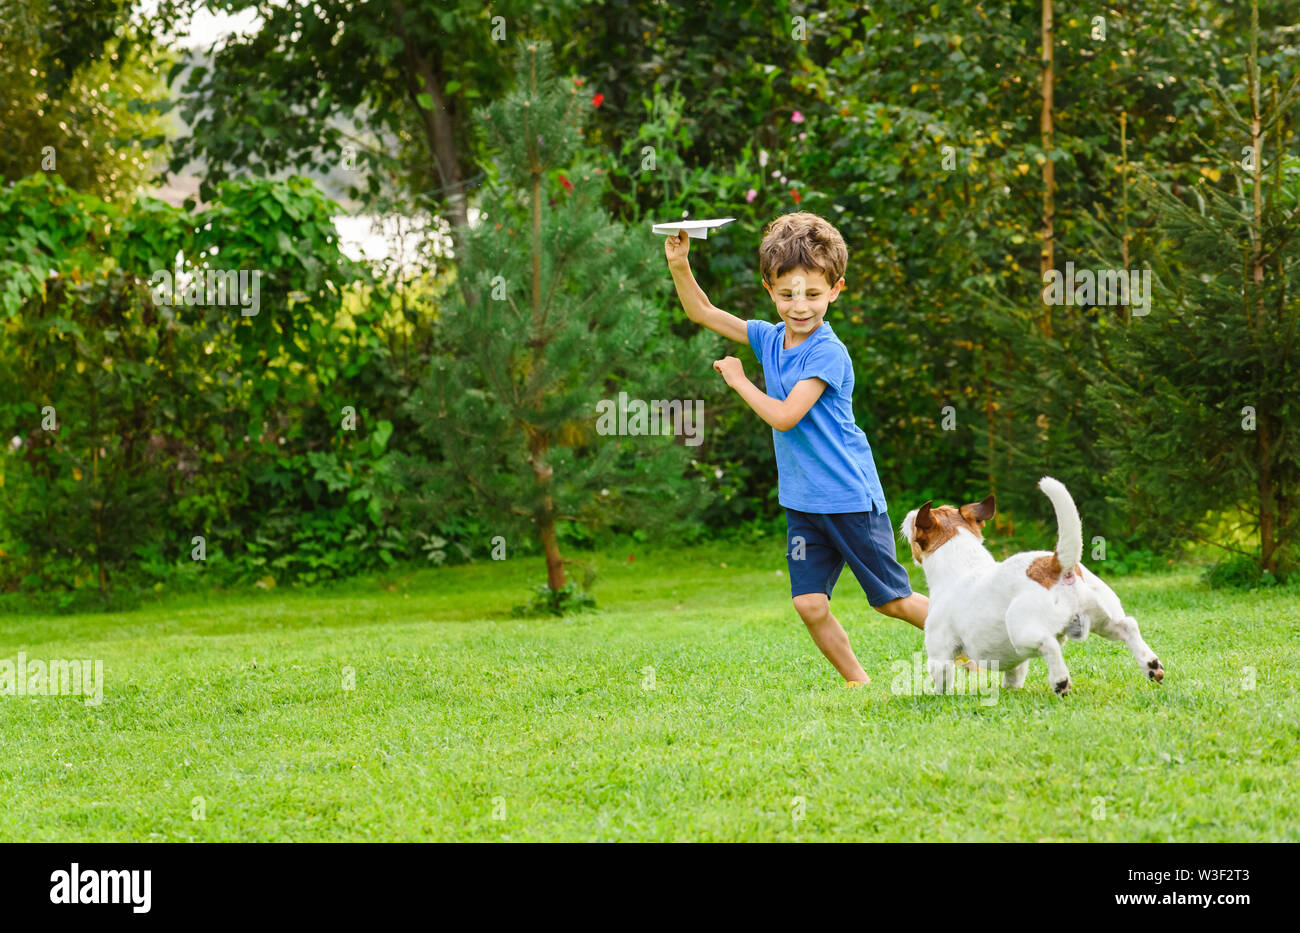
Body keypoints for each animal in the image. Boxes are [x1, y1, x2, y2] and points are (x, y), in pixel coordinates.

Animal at [899, 478, 1164, 696]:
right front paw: (1009, 690)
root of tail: (1058, 565)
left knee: (1049, 644)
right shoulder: (1014, 662)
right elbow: (1014, 673)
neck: (961, 562)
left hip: (1022, 630)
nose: (908, 513)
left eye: (914, 524)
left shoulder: (939, 650)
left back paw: (1061, 682)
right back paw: (1151, 665)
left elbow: (942, 677)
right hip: (1102, 617)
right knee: (1128, 626)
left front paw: (936, 695)